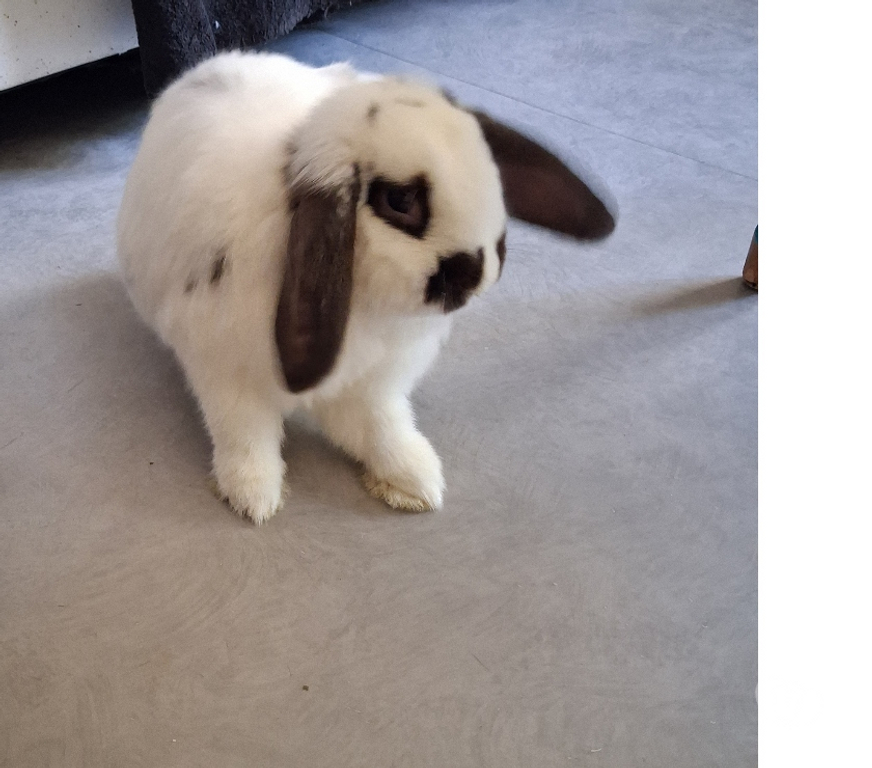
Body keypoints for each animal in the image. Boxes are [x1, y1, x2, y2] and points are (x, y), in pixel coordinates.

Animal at [117, 51, 615, 525]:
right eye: (399, 200)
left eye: (488, 169)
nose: (475, 273)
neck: (367, 307)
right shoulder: (228, 377)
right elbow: (246, 436)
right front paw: (253, 497)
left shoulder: (374, 385)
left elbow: (380, 429)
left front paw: (414, 481)